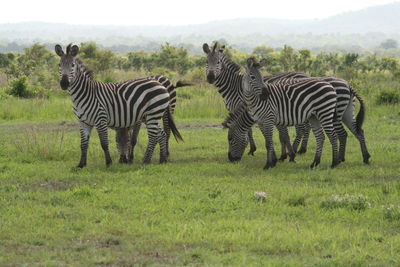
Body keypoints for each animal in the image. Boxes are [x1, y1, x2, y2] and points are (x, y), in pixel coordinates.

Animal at [54, 44, 183, 169]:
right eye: (59, 64)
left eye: (72, 65)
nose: (64, 83)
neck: (84, 94)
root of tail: (160, 83)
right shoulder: (83, 122)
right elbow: (83, 145)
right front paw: (81, 164)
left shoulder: (101, 120)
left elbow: (104, 144)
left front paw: (109, 163)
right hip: (149, 116)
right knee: (161, 134)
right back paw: (162, 160)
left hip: (153, 113)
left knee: (153, 136)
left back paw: (146, 161)